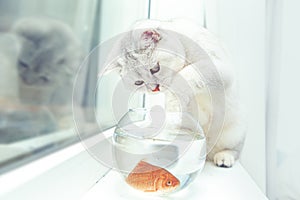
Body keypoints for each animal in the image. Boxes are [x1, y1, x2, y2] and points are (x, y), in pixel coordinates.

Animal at [106, 19, 245, 168]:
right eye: (138, 82)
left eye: (155, 69)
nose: (154, 88)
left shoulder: (218, 68)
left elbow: (184, 77)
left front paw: (172, 110)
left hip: (235, 132)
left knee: (234, 151)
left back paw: (224, 158)